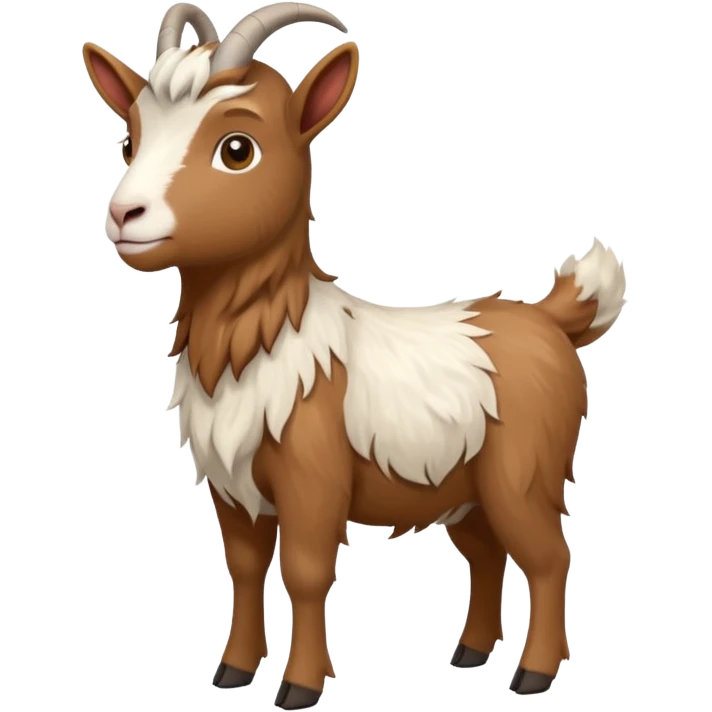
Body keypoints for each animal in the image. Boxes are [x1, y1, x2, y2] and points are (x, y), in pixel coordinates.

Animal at [81, 2, 628, 707]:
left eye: (238, 149)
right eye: (129, 141)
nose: (125, 214)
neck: (262, 342)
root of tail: (548, 318)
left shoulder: (312, 477)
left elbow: (306, 571)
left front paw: (299, 686)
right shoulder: (232, 486)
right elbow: (246, 568)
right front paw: (232, 671)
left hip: (523, 472)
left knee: (548, 556)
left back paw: (533, 672)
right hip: (465, 487)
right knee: (486, 554)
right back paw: (470, 653)